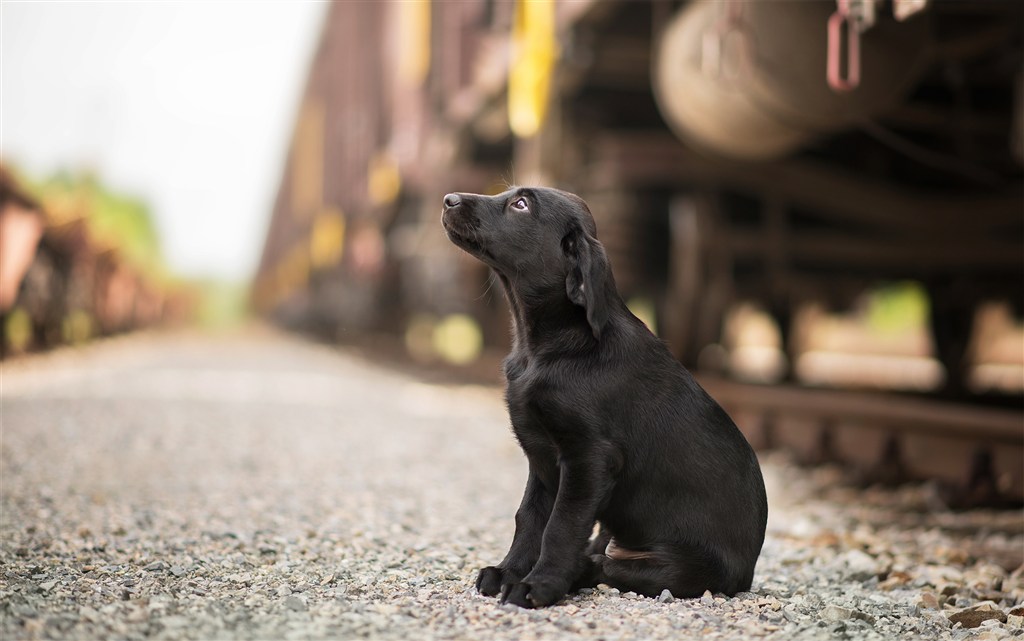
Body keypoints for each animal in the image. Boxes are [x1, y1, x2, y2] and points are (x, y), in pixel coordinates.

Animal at [440, 187, 770, 606]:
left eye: (521, 205)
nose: (448, 199)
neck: (548, 346)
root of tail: (747, 574)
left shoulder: (589, 458)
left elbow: (560, 526)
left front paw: (537, 585)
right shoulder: (541, 457)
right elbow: (529, 519)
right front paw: (510, 571)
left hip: (679, 567)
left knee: (607, 567)